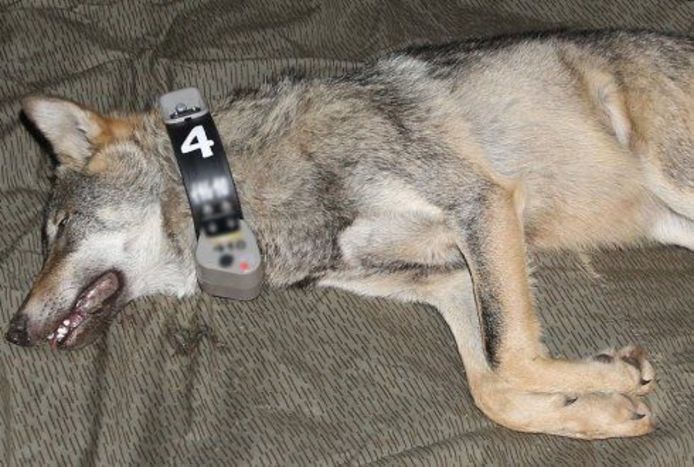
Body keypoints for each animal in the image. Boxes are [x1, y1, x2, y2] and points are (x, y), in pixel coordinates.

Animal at [5, 30, 693, 439]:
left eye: (57, 231)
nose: (12, 330)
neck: (242, 187)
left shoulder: (483, 206)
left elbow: (509, 355)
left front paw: (613, 383)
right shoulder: (446, 279)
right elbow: (491, 388)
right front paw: (604, 404)